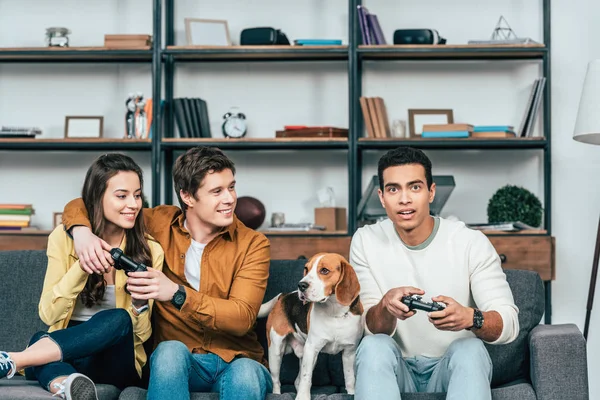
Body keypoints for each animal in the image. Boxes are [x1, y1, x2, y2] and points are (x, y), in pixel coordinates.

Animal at [256, 255, 364, 398]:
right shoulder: (312, 348)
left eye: (324, 270)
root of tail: (284, 295)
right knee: (277, 381)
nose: (301, 285)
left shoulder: (349, 352)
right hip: (276, 351)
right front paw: (302, 397)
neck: (335, 313)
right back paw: (277, 394)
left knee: (297, 381)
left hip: (306, 354)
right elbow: (306, 378)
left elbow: (350, 378)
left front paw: (351, 394)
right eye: (306, 269)